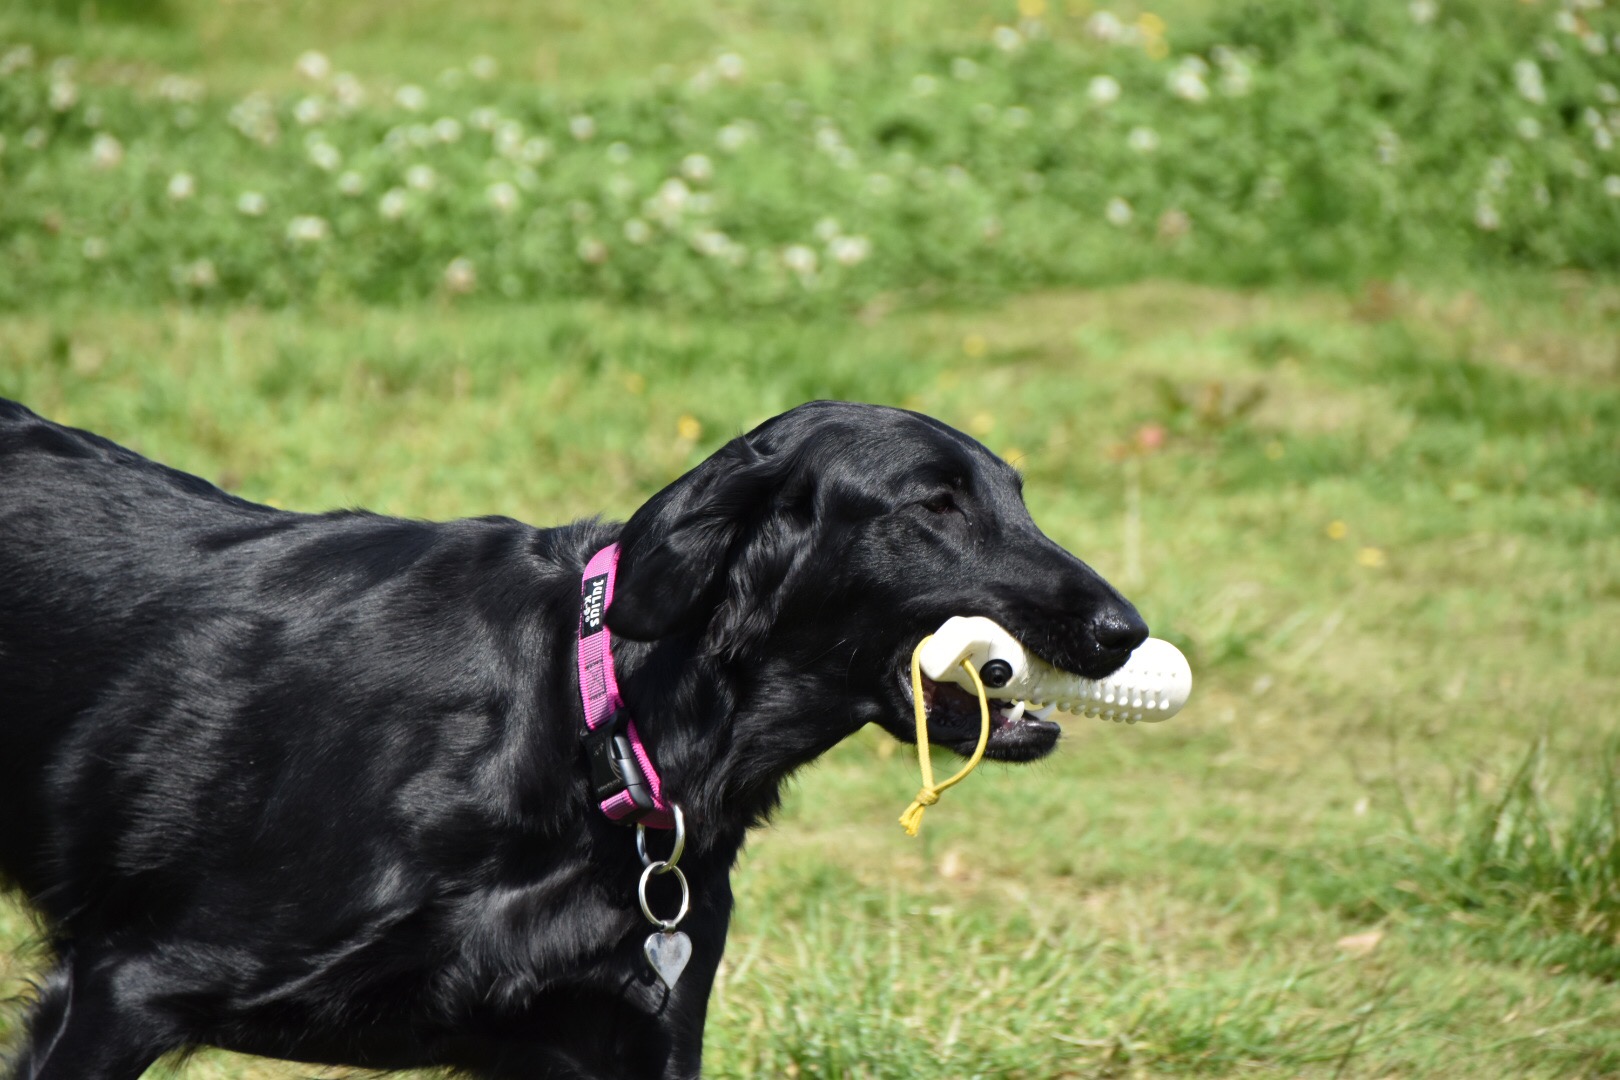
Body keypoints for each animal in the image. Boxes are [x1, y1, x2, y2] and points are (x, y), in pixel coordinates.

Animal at [0, 401, 1140, 1075]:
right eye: (936, 505)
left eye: (1016, 496)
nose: (1124, 631)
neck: (587, 720)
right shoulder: (126, 984)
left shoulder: (621, 1043)